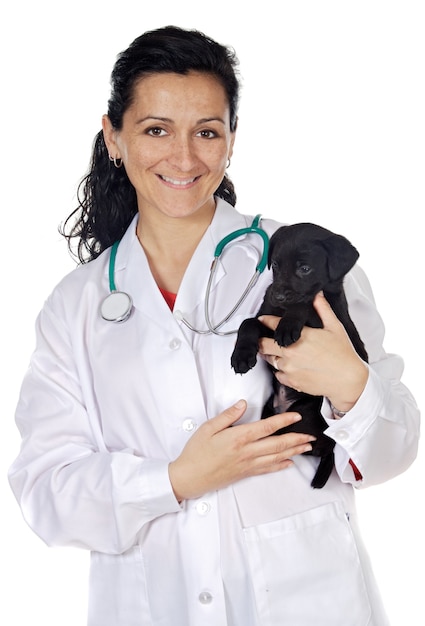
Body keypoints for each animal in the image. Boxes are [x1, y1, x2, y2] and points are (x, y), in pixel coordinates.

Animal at [230, 223, 366, 488]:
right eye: (275, 265)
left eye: (305, 269)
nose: (277, 295)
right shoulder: (265, 321)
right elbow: (248, 323)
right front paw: (241, 355)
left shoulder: (330, 316)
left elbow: (306, 302)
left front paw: (289, 324)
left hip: (305, 415)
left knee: (321, 449)